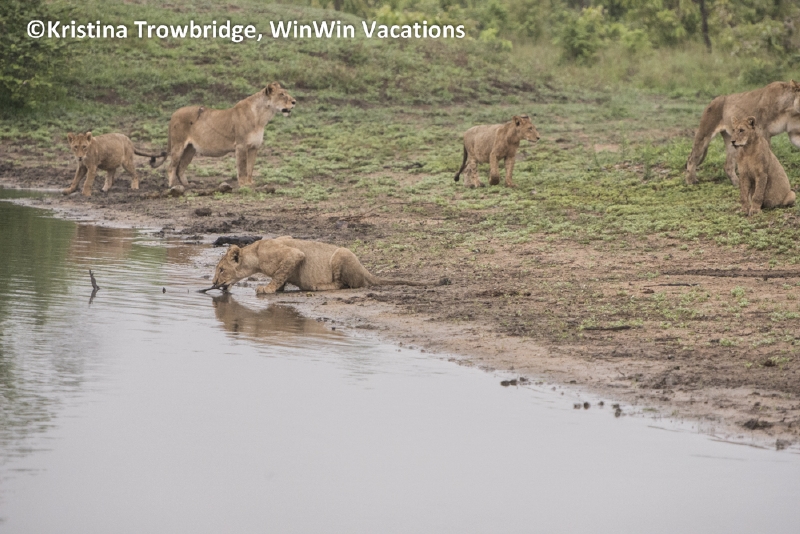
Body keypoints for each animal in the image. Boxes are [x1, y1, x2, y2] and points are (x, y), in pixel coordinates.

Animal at [149, 82, 295, 188]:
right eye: (282, 94)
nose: (294, 102)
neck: (262, 117)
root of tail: (174, 114)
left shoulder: (254, 147)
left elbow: (250, 168)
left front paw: (250, 183)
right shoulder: (241, 146)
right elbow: (242, 167)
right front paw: (243, 185)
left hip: (190, 149)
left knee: (180, 168)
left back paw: (188, 185)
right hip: (178, 145)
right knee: (171, 167)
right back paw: (173, 186)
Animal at [211, 236, 427, 294]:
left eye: (221, 270)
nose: (213, 283)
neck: (255, 254)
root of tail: (366, 271)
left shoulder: (294, 254)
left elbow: (279, 273)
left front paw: (268, 289)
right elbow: (282, 275)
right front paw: (278, 288)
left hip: (342, 253)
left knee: (343, 284)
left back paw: (318, 286)